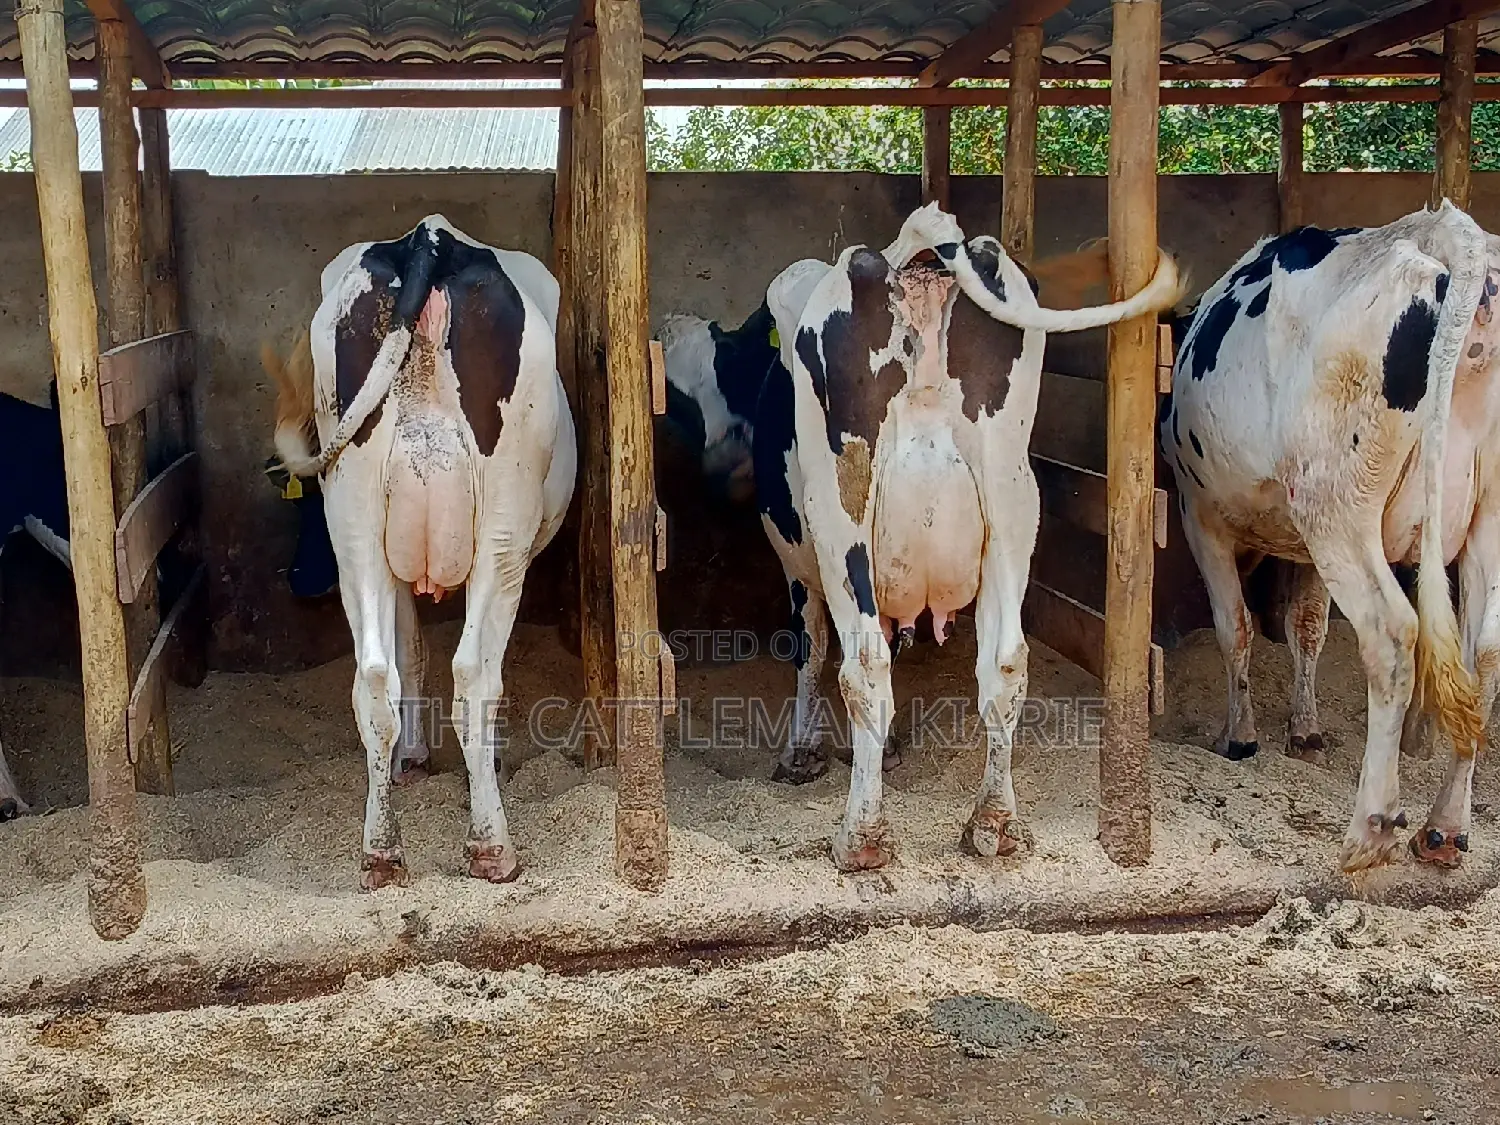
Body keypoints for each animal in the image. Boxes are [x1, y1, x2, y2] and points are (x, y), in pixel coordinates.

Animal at [268, 214, 575, 889]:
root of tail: (428, 239)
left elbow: (408, 652)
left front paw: (412, 756)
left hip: (356, 523)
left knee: (373, 678)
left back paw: (381, 852)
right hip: (504, 527)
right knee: (475, 676)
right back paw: (491, 846)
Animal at [679, 203, 1181, 870]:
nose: (716, 469)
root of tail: (913, 263)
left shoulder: (800, 560)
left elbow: (811, 645)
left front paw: (804, 753)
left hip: (842, 509)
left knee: (865, 663)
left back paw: (862, 838)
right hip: (1013, 498)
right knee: (1005, 661)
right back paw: (995, 824)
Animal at [1160, 201, 1497, 873]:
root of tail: (1445, 230)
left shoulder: (1198, 517)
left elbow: (1235, 627)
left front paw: (1241, 738)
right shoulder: (1303, 547)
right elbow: (1307, 627)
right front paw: (1306, 731)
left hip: (1338, 509)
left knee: (1392, 635)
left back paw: (1370, 831)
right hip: (1480, 521)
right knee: (1486, 656)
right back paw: (1445, 829)